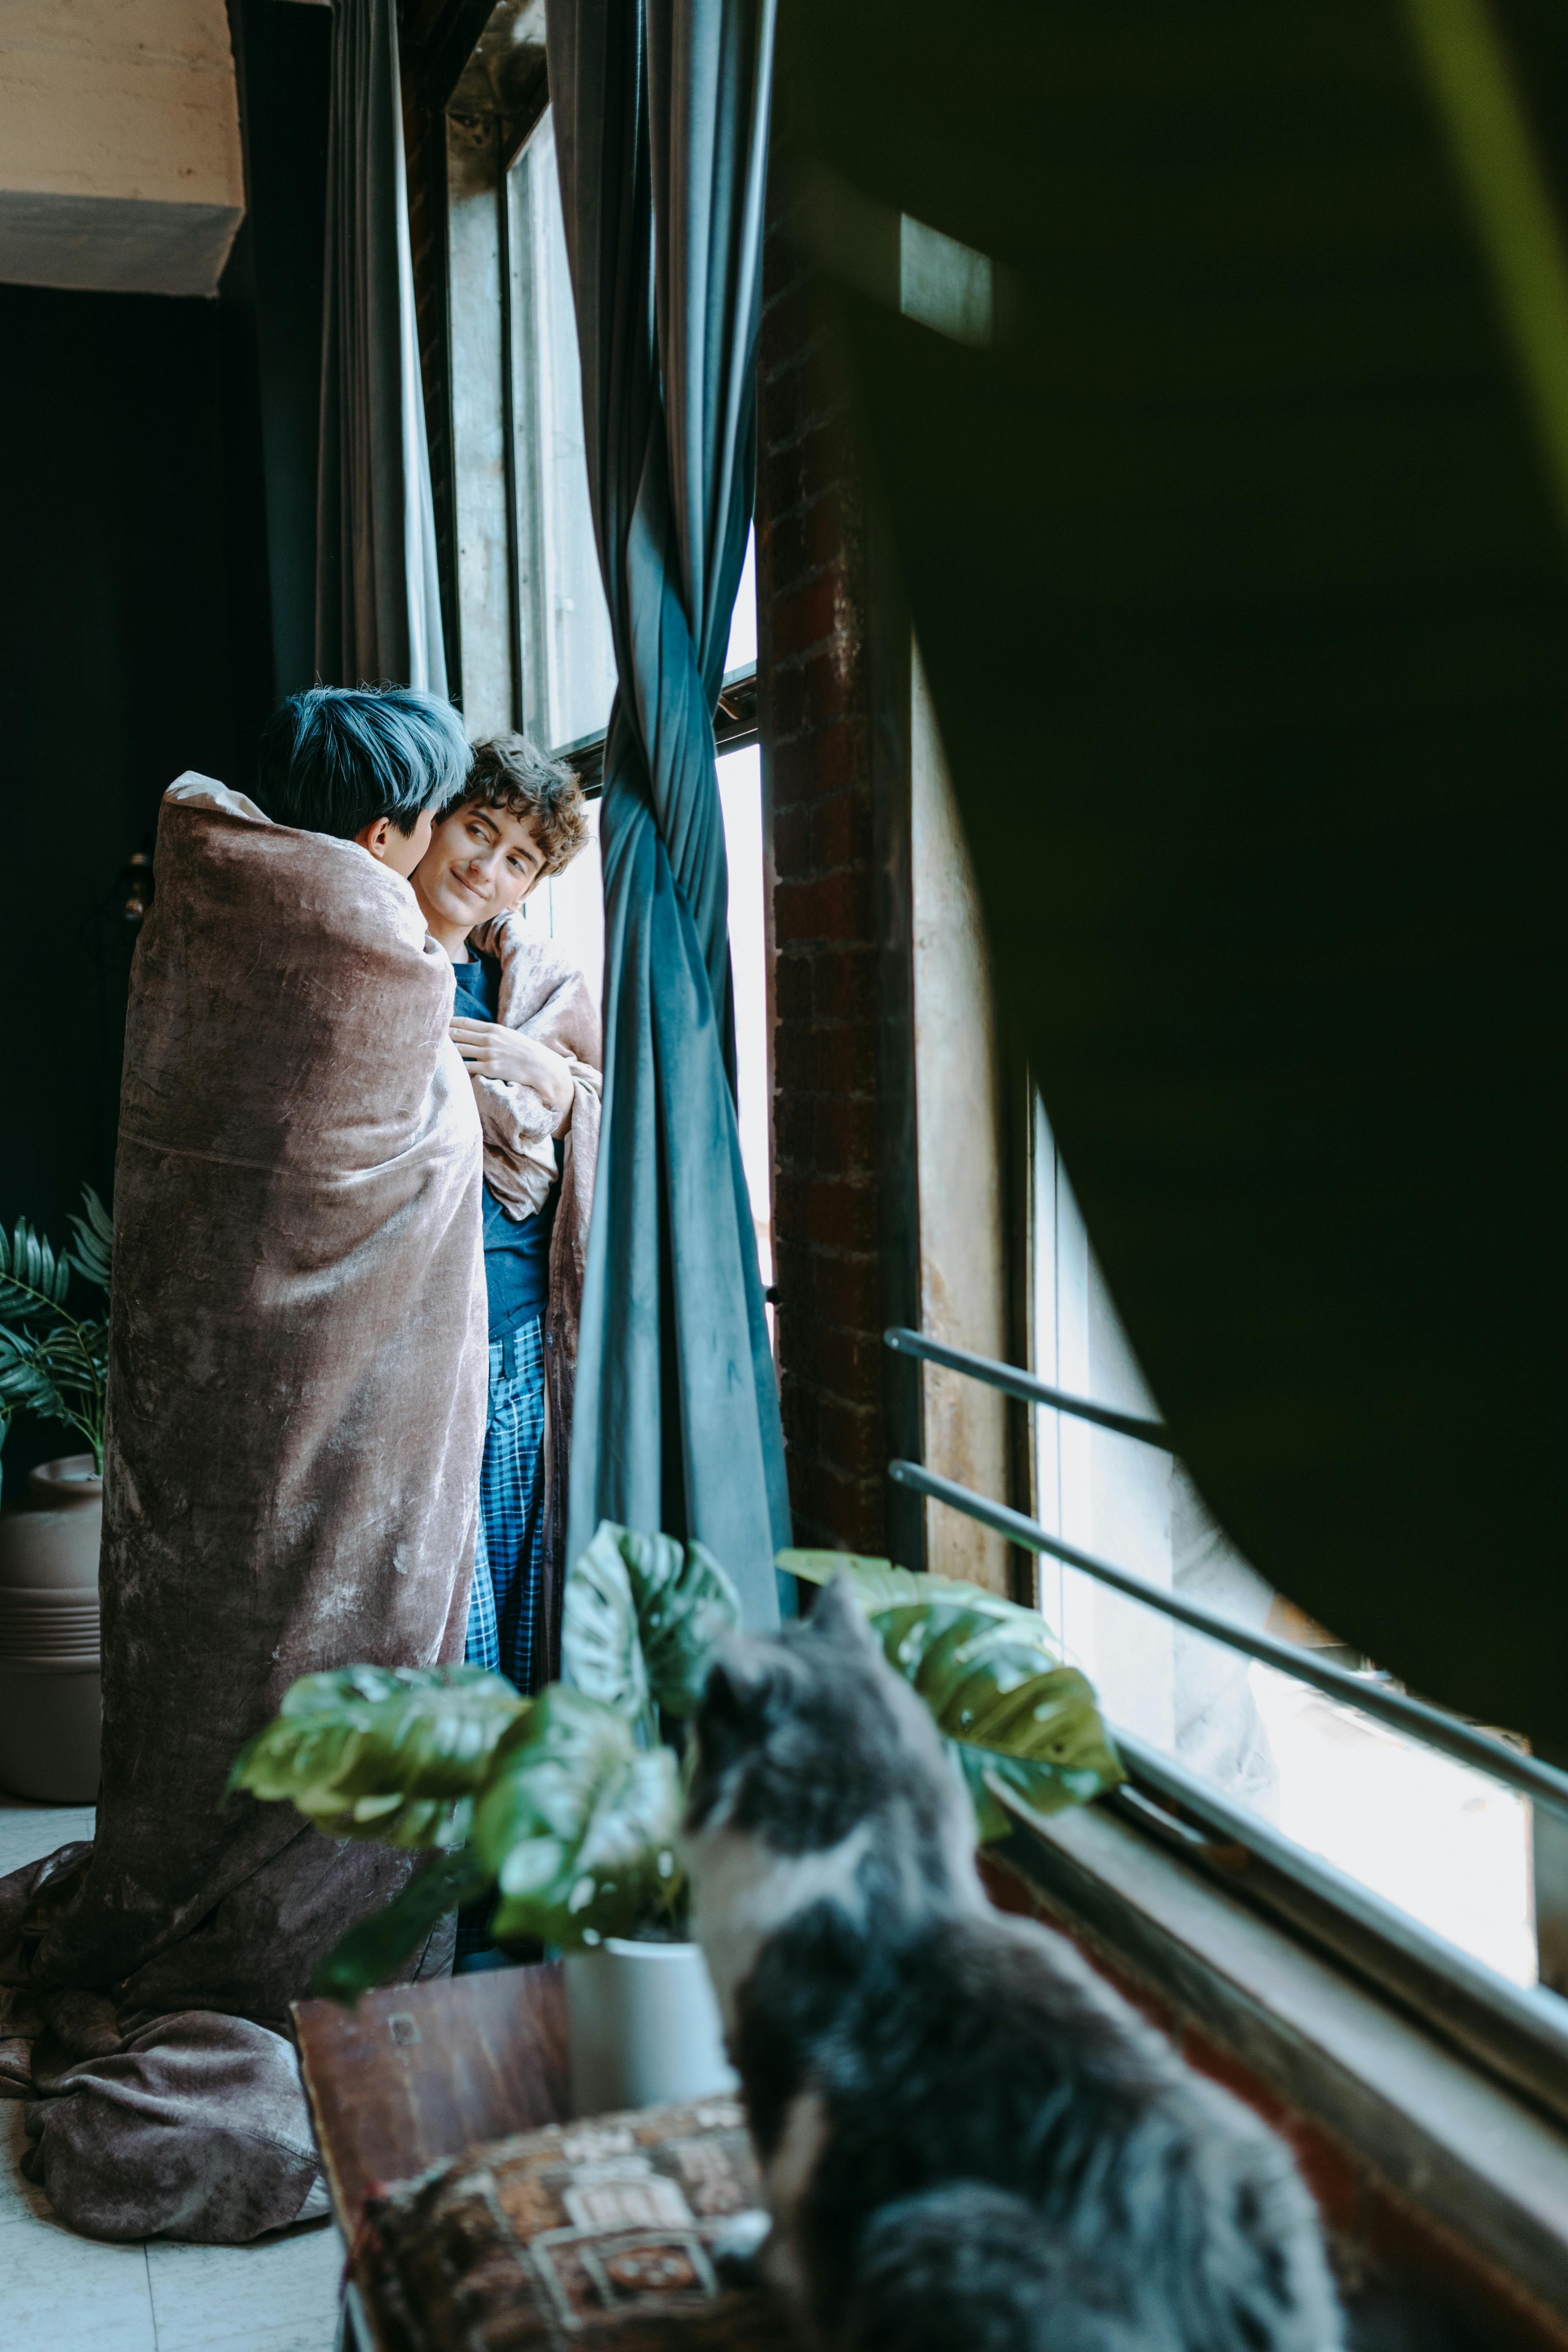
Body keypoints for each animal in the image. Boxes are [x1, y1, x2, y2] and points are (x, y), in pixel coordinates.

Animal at [681, 1580, 1345, 2352]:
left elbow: (774, 2194)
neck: (895, 1874)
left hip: (928, 2231)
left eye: (706, 1714)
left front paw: (752, 2254)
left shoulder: (768, 2075)